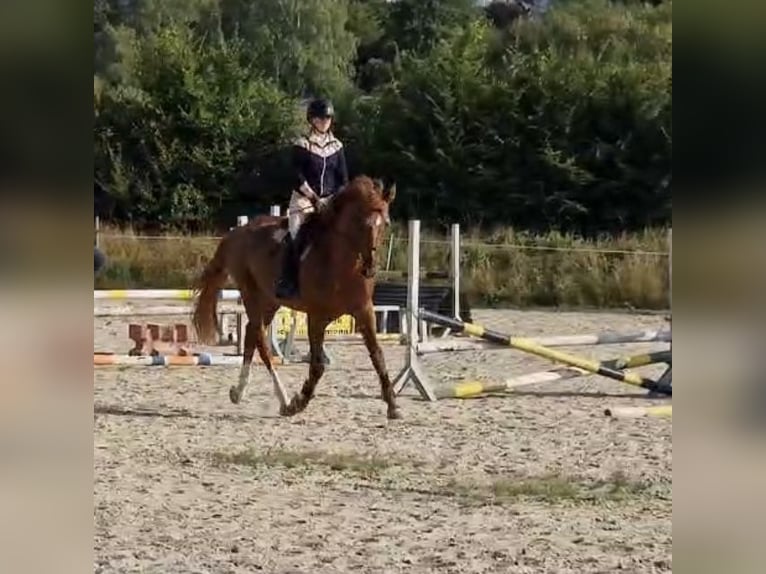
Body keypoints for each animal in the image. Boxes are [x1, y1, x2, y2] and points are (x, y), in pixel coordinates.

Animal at [191, 176, 402, 418]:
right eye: (359, 223)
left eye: (385, 224)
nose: (370, 268)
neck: (342, 264)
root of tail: (237, 232)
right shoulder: (316, 316)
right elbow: (318, 365)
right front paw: (299, 402)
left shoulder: (364, 311)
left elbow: (377, 355)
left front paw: (393, 404)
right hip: (251, 294)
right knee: (260, 341)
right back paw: (283, 399)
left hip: (269, 302)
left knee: (251, 335)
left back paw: (239, 392)